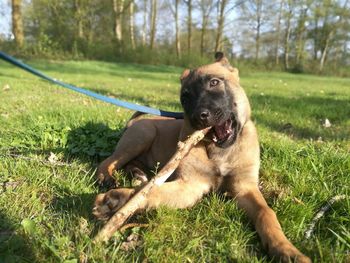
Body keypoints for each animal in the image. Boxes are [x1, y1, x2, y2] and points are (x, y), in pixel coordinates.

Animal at [93, 52, 312, 262]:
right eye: (185, 97)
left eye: (214, 82)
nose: (199, 117)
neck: (219, 151)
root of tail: (133, 123)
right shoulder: (191, 185)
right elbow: (151, 192)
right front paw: (116, 200)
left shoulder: (245, 187)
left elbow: (266, 212)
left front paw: (286, 249)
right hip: (142, 135)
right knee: (109, 161)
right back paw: (108, 178)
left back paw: (138, 174)